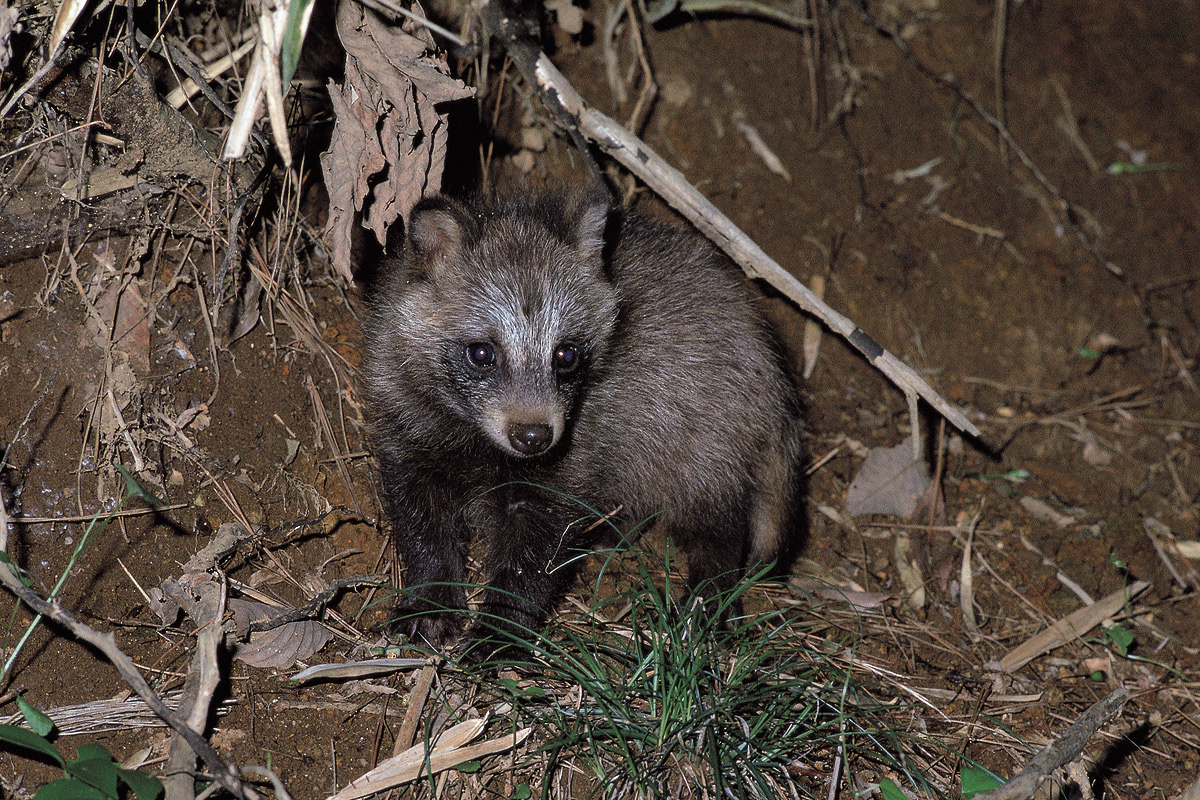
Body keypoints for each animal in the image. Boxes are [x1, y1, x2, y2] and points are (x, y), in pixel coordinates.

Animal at [360, 190, 801, 647]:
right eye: (482, 353)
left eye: (566, 354)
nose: (533, 436)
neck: (474, 433)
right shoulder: (404, 417)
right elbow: (421, 519)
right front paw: (430, 595)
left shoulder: (582, 440)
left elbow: (539, 549)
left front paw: (503, 626)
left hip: (706, 426)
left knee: (714, 519)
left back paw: (710, 588)